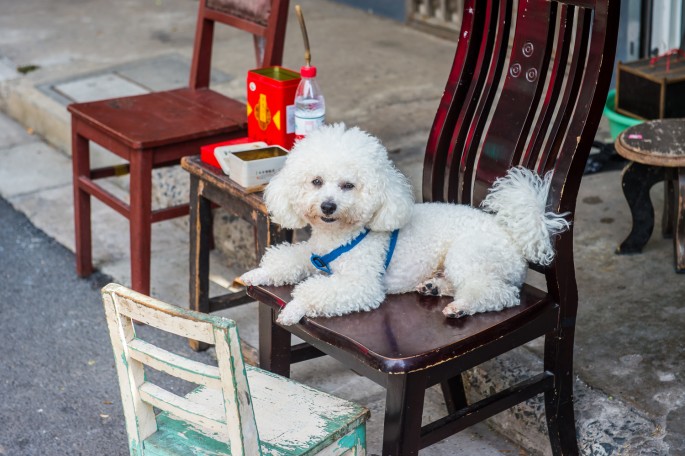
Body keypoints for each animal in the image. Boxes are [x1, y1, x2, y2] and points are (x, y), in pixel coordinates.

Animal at [243, 123, 568, 326]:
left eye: (348, 185)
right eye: (316, 182)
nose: (328, 206)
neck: (340, 236)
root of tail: (514, 235)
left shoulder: (360, 284)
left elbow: (312, 291)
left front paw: (293, 309)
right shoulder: (314, 253)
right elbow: (288, 260)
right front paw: (256, 274)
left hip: (470, 253)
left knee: (498, 293)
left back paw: (461, 306)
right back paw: (434, 287)